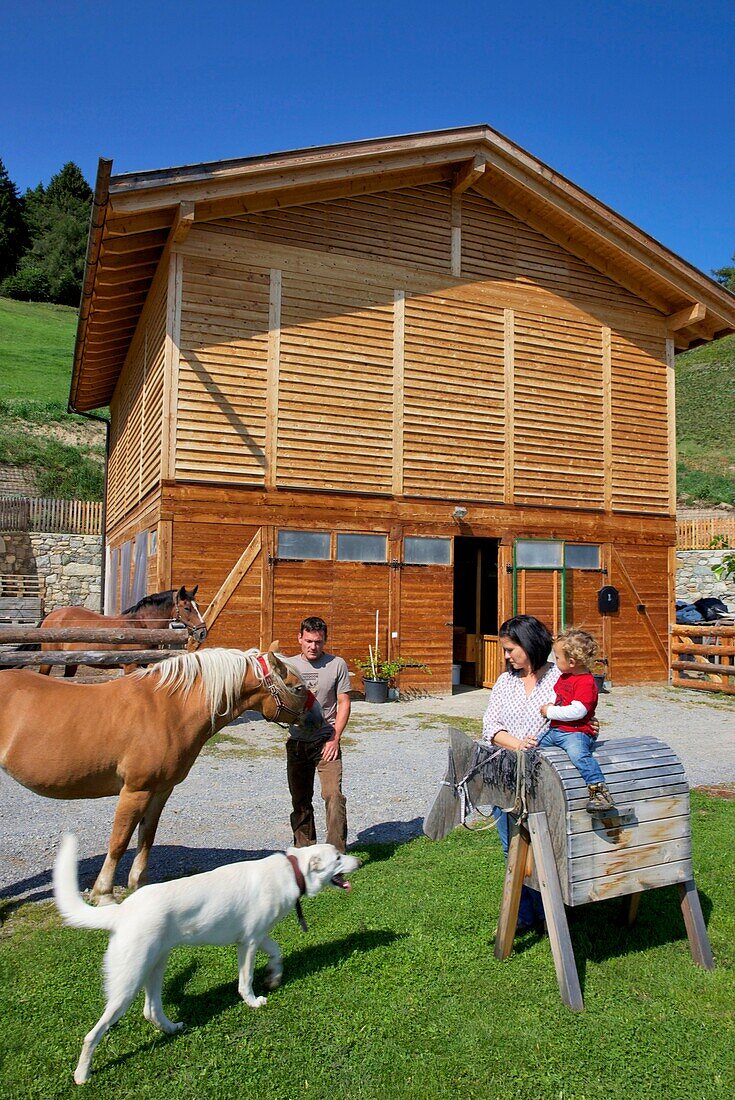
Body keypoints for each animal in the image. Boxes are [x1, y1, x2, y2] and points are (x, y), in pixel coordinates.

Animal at [0, 646, 321, 897]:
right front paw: (103, 893)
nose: (317, 721)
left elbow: (146, 836)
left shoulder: (161, 790)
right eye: (298, 687)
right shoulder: (135, 790)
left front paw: (138, 884)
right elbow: (119, 840)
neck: (168, 708)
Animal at [37, 585, 206, 677]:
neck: (141, 626)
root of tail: (52, 615)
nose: (202, 632)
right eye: (187, 608)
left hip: (71, 662)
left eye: (197, 606)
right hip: (47, 661)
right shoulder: (130, 667)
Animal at [53, 831, 358, 1082]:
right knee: (92, 1034)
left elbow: (277, 952)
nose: (357, 862)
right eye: (338, 857)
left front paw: (274, 978)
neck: (292, 871)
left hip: (155, 966)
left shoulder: (258, 936)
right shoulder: (248, 943)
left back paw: (173, 1028)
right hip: (127, 983)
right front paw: (253, 1001)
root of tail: (121, 911)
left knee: (151, 1010)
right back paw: (82, 1075)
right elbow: (245, 981)